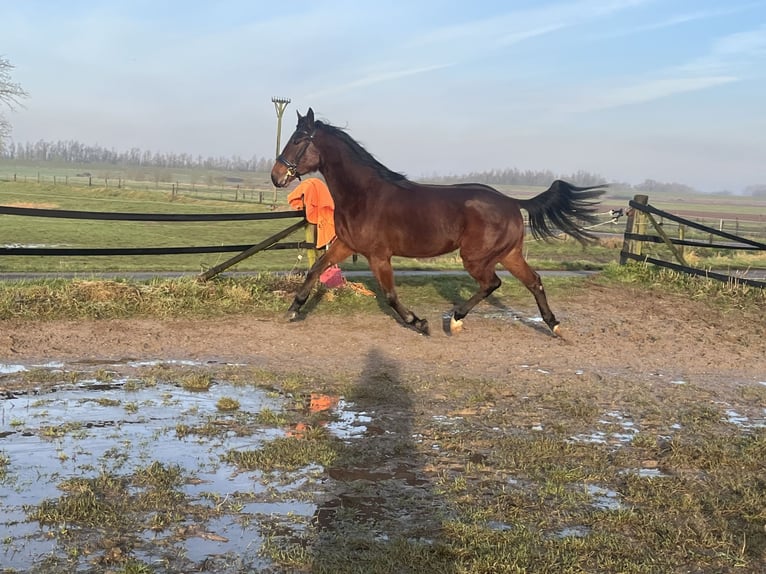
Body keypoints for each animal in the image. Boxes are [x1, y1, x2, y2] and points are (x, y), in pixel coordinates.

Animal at [272, 108, 608, 338]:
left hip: (476, 257)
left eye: (298, 140)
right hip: (509, 254)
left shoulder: (379, 255)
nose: (276, 176)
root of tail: (512, 202)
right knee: (534, 281)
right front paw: (292, 310)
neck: (364, 194)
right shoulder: (345, 245)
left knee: (493, 283)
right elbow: (315, 269)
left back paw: (456, 319)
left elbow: (391, 296)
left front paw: (419, 323)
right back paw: (554, 326)